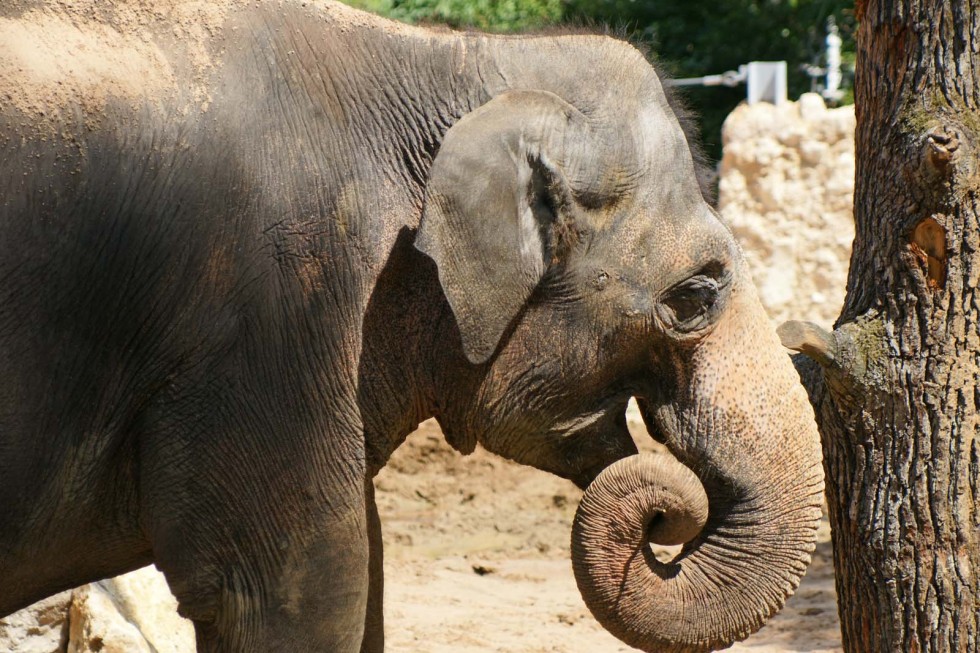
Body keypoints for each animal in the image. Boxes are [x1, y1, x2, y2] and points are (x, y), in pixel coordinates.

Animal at [0, 1, 828, 652]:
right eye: (695, 296)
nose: (666, 514)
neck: (447, 55)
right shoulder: (270, 322)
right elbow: (293, 593)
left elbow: (364, 574)